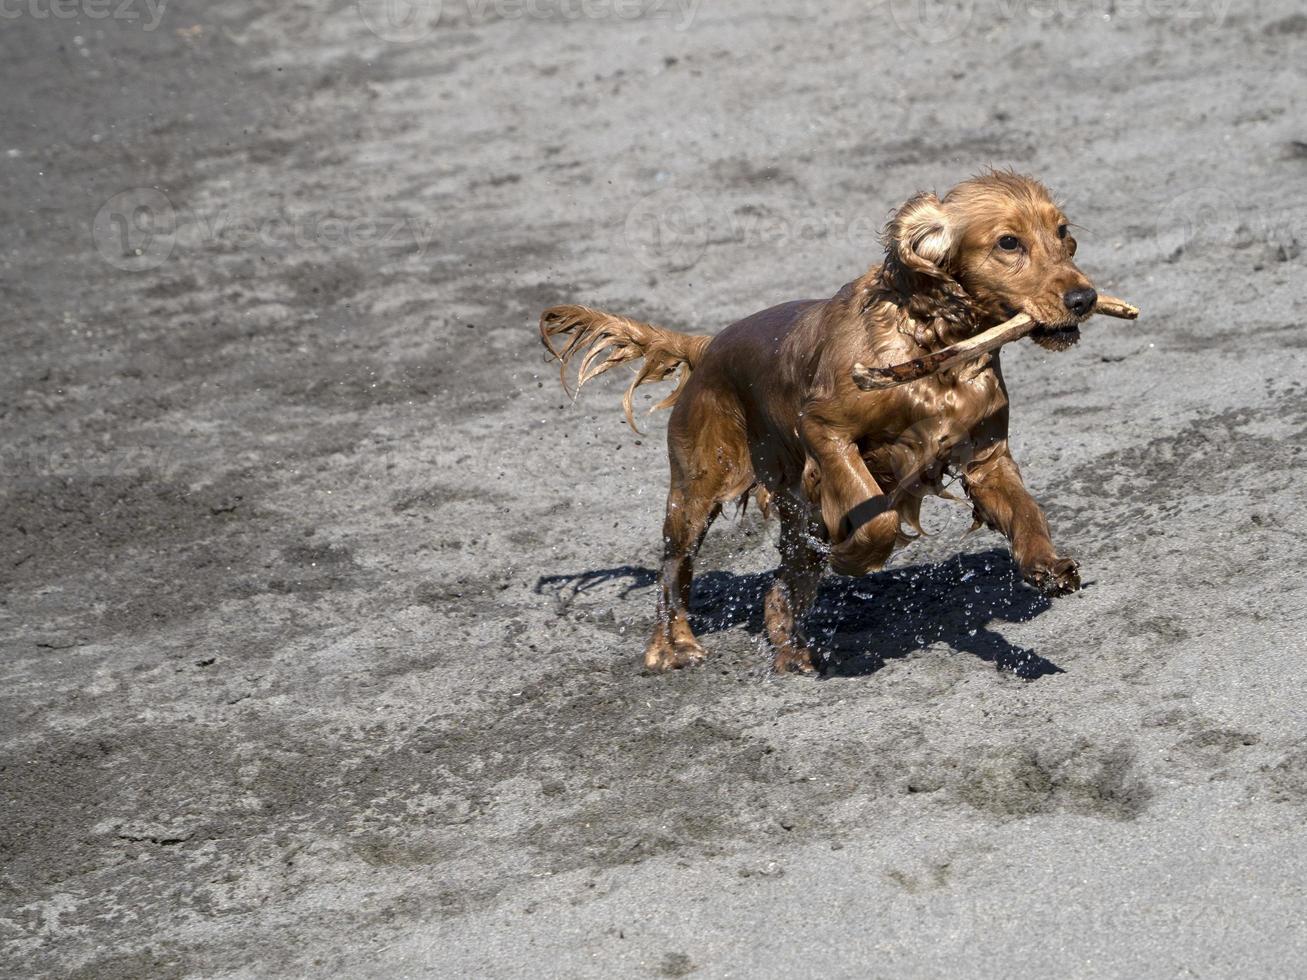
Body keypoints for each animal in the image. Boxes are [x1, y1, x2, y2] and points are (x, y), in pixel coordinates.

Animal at [546, 171, 1108, 674]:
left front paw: (1048, 566)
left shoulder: (986, 458)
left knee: (777, 593)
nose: (1084, 299)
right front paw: (853, 559)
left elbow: (1027, 513)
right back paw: (671, 647)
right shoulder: (824, 430)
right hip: (696, 491)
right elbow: (877, 518)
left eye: (1062, 231)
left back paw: (792, 654)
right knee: (673, 571)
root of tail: (706, 347)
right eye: (1008, 242)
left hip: (798, 516)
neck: (932, 342)